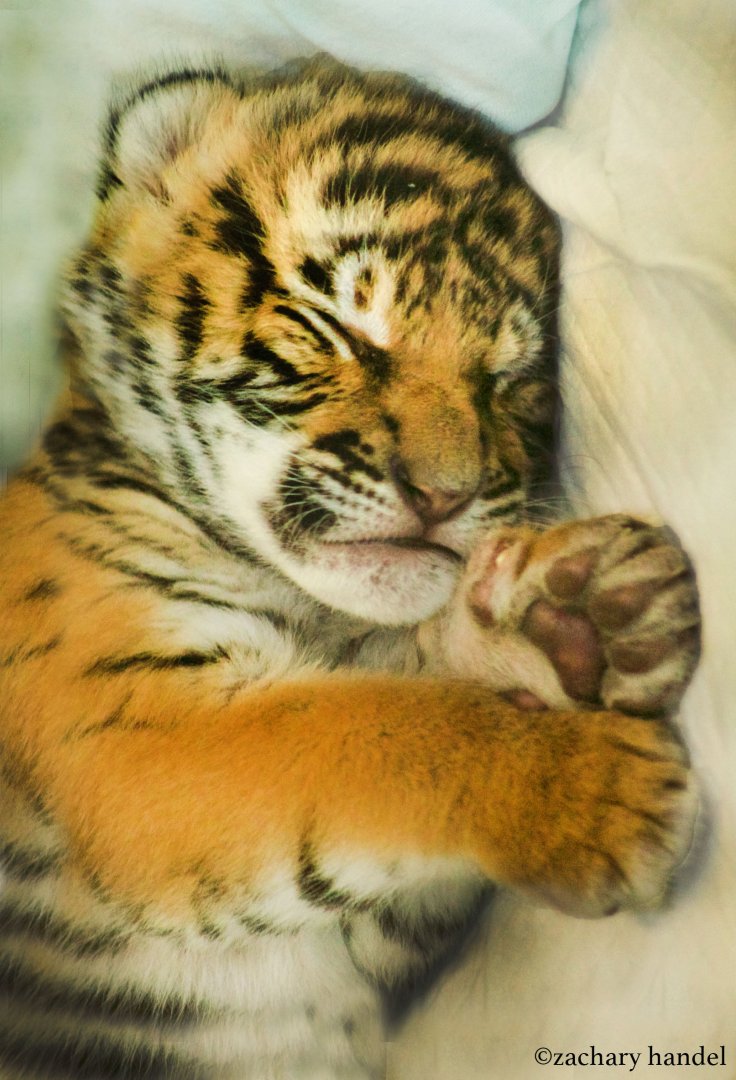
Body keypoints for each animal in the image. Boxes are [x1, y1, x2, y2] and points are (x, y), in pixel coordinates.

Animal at [0, 59, 701, 1079]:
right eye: (341, 327)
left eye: (509, 380)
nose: (446, 495)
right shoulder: (133, 729)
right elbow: (371, 735)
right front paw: (591, 788)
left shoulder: (376, 944)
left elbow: (395, 686)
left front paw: (587, 618)